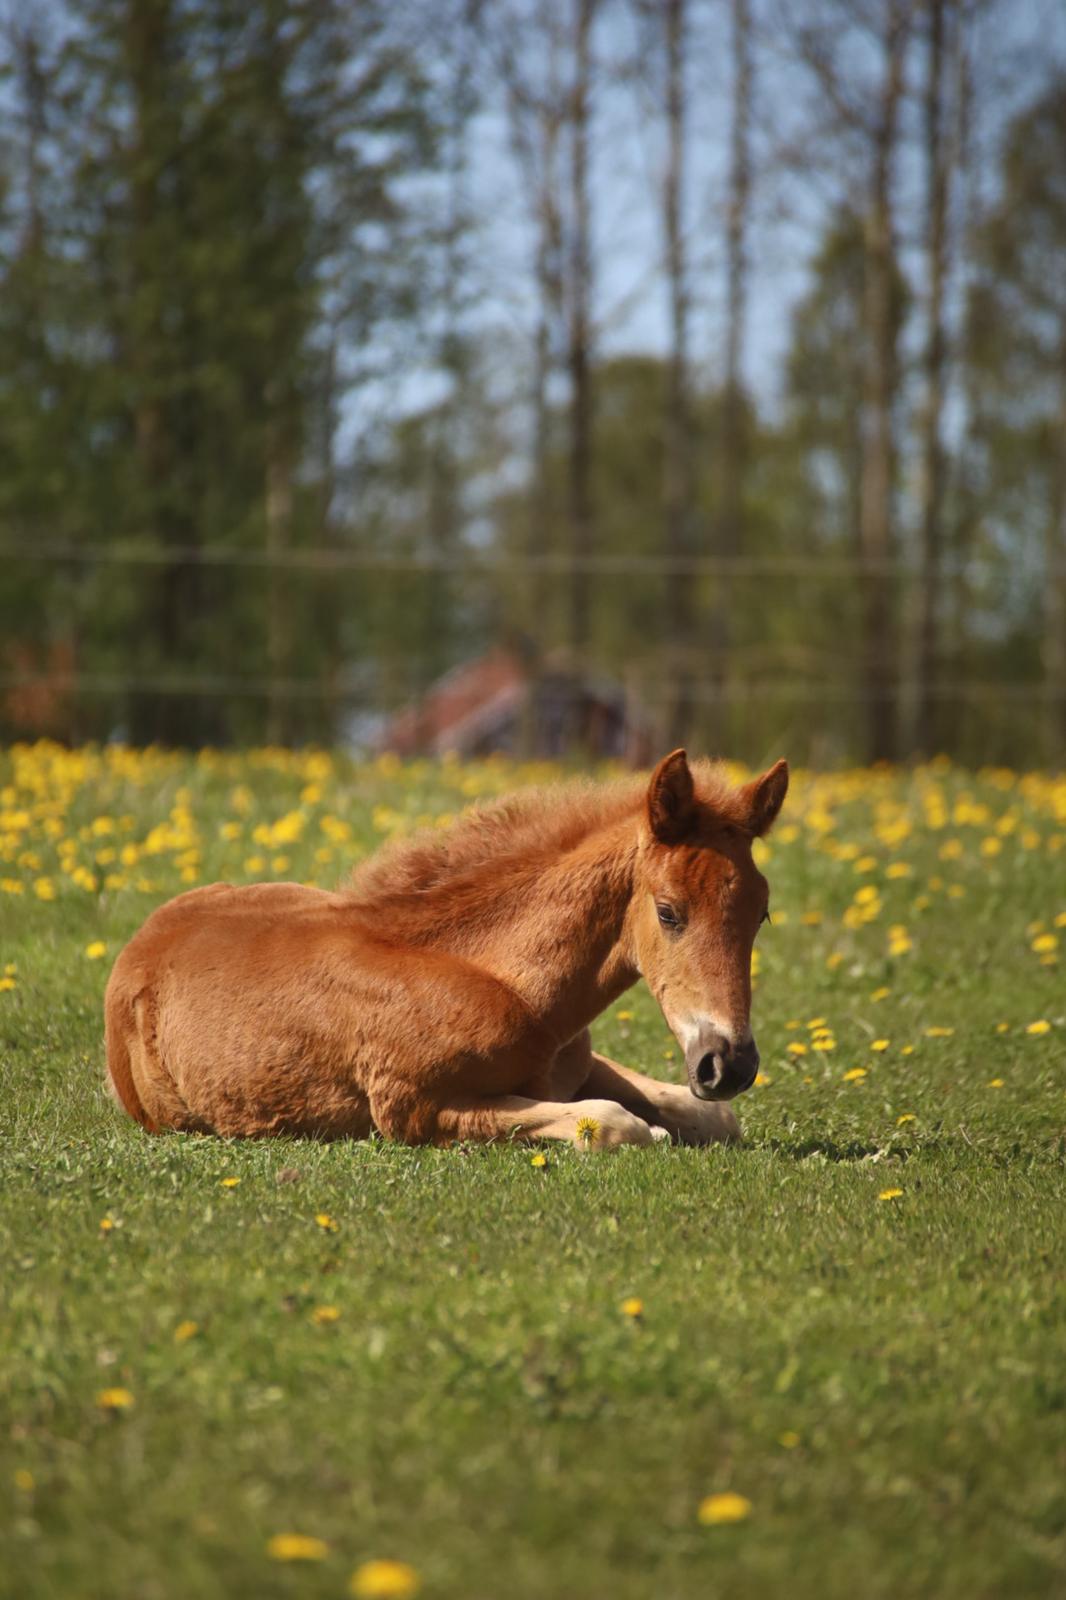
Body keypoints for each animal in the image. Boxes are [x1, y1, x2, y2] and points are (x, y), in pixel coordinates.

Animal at [104, 749, 788, 1151]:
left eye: (762, 913)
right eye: (669, 912)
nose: (729, 1064)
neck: (503, 981)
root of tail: (143, 939)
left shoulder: (578, 1064)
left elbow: (710, 1117)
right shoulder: (415, 1110)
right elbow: (615, 1123)